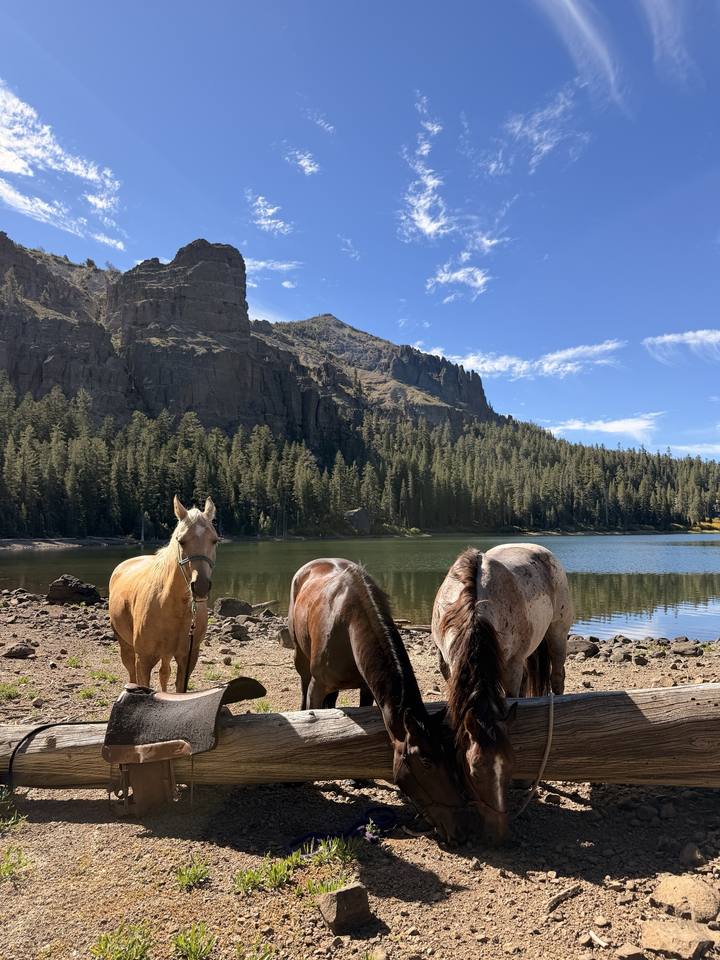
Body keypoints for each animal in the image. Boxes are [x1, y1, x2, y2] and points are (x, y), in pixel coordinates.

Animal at [109, 496, 218, 693]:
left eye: (214, 540)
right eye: (181, 541)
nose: (200, 586)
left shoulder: (188, 658)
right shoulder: (144, 660)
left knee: (164, 673)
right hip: (125, 645)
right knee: (131, 671)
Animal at [288, 557, 472, 844]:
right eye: (426, 762)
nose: (461, 829)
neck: (349, 624)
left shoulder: (366, 686)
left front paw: (358, 779)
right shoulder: (318, 685)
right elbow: (312, 717)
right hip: (301, 660)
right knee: (304, 690)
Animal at [431, 544, 573, 843]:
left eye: (509, 766)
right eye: (474, 770)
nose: (497, 832)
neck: (475, 605)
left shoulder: (513, 667)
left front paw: (522, 780)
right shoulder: (446, 664)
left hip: (557, 633)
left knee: (557, 680)